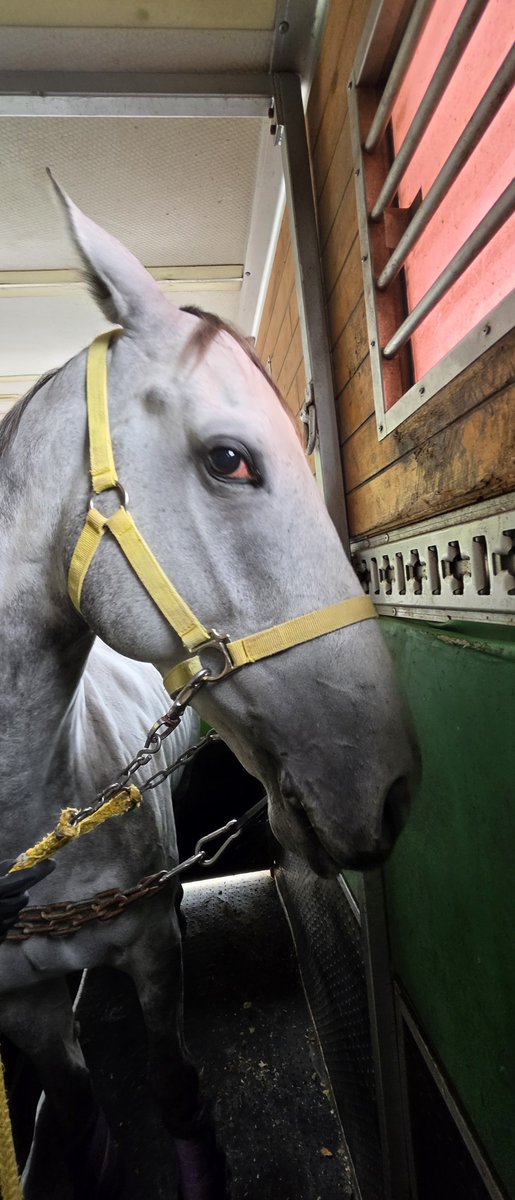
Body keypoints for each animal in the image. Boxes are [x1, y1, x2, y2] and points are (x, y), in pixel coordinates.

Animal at [0, 179, 419, 1200]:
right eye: (229, 458)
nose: (390, 788)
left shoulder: (155, 947)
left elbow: (177, 1090)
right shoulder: (23, 1009)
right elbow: (82, 1117)